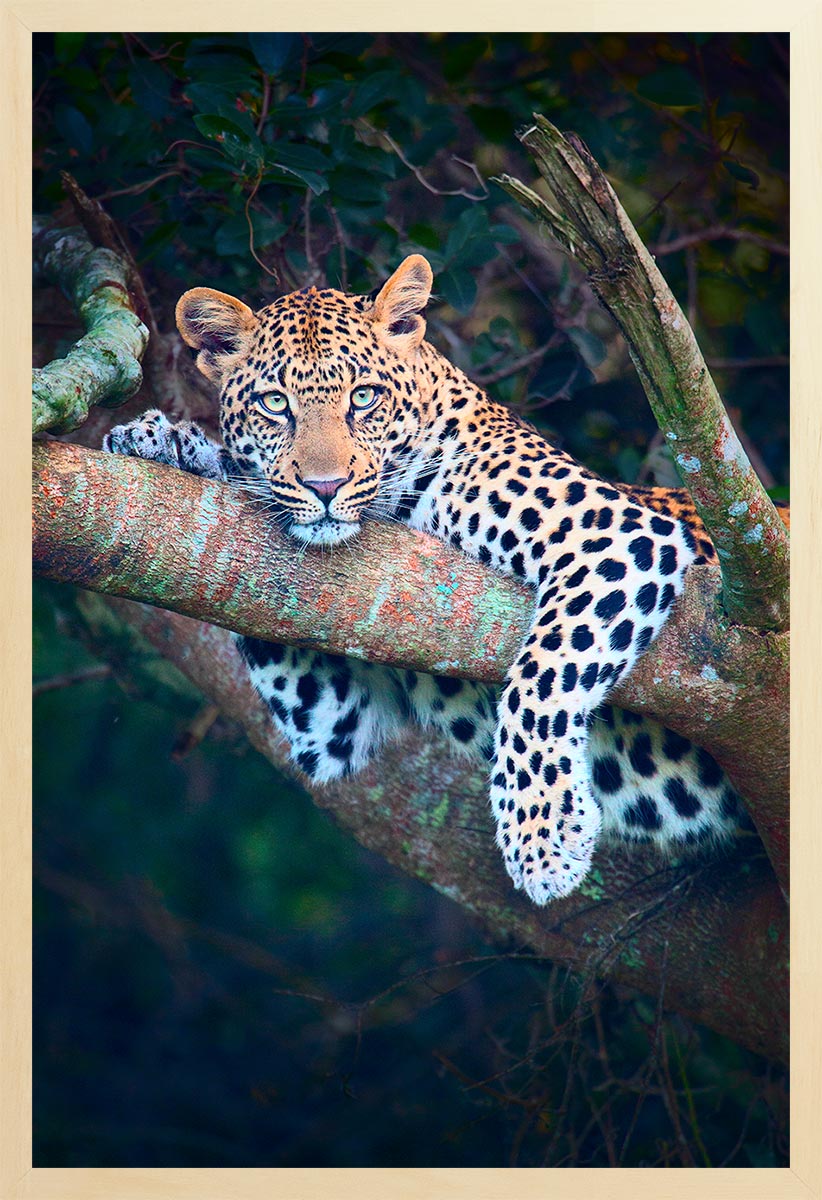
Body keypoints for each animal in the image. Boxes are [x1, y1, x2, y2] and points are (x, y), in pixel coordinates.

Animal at [104, 253, 751, 906]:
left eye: (364, 398)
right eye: (274, 404)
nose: (325, 487)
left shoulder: (616, 534)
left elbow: (542, 677)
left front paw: (542, 834)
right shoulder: (333, 717)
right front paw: (164, 441)